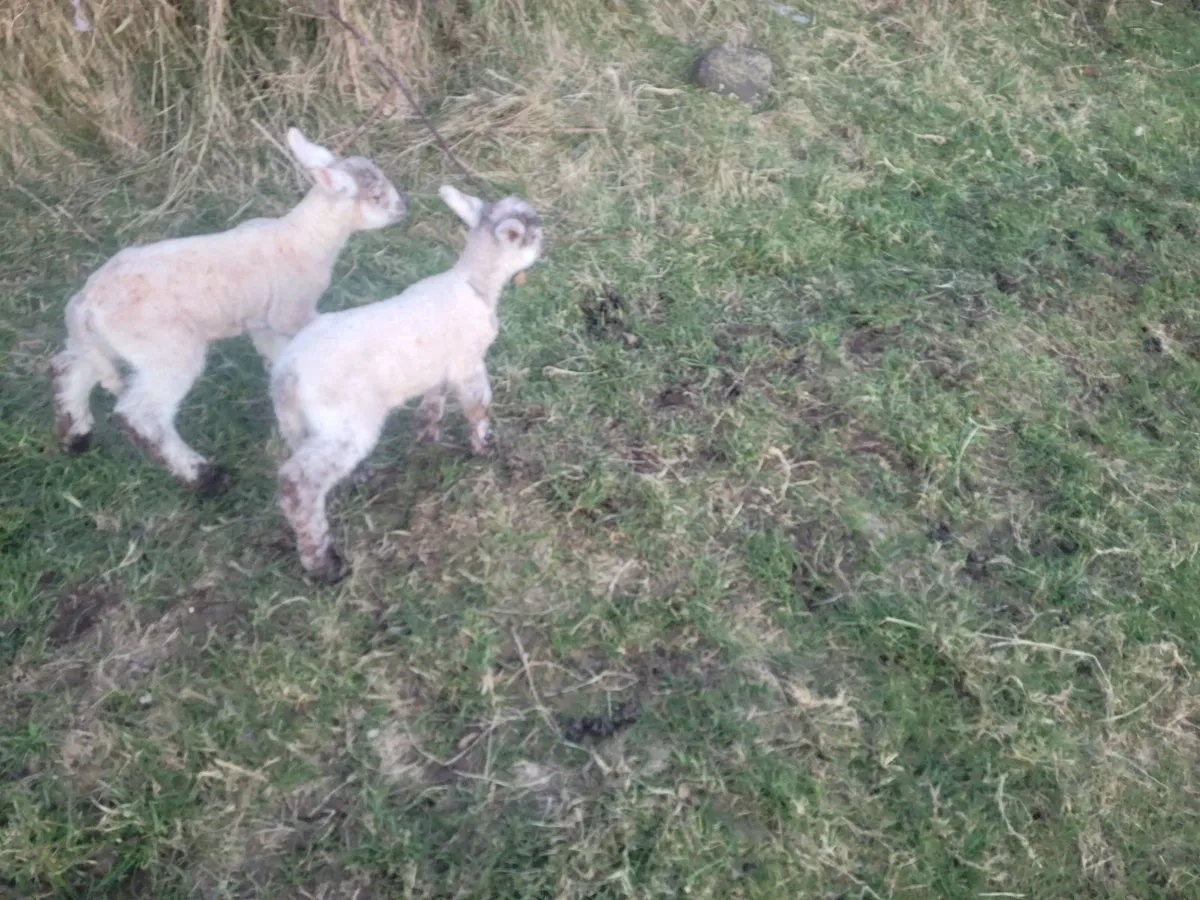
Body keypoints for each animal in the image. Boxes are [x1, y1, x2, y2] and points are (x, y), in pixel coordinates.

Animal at [49, 127, 407, 495]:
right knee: (142, 415)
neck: (306, 237)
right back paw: (203, 476)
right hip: (165, 349)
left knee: (70, 367)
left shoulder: (265, 321)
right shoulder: (290, 309)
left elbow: (278, 356)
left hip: (107, 342)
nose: (402, 209)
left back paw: (76, 435)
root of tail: (86, 301)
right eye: (376, 195)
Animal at [270, 184, 544, 582]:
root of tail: (286, 376)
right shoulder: (468, 363)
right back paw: (323, 563)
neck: (475, 284)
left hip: (299, 424)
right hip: (346, 423)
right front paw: (485, 446)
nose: (546, 240)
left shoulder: (440, 367)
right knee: (297, 485)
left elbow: (434, 398)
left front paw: (426, 434)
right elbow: (478, 404)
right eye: (531, 234)